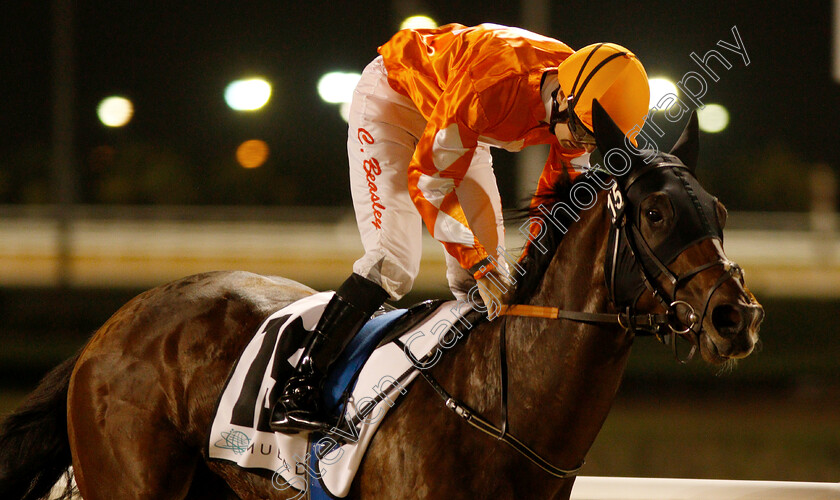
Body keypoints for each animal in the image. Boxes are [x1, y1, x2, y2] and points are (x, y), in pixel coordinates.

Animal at [0, 103, 760, 498]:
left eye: (720, 211)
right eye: (656, 214)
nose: (737, 316)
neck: (501, 406)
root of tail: (110, 328)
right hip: (128, 480)